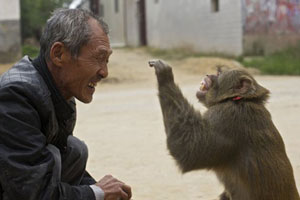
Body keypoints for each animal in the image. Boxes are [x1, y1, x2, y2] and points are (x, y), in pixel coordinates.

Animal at [149, 59, 298, 200]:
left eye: (219, 73)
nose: (208, 75)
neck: (239, 99)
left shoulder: (225, 117)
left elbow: (189, 149)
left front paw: (164, 76)